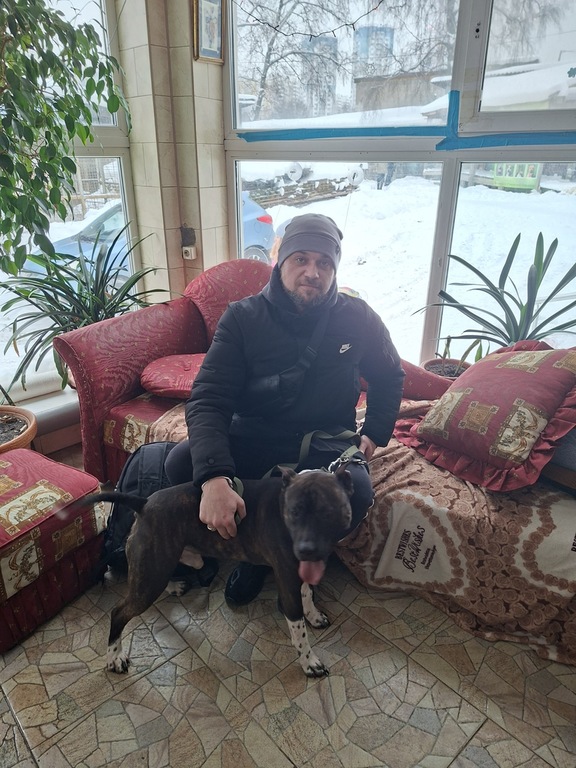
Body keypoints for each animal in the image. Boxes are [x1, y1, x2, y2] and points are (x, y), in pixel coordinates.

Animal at [87, 465, 353, 678]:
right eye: (295, 512)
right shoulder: (287, 580)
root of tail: (144, 503)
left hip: (161, 565)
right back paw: (114, 657)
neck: (281, 505)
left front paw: (313, 615)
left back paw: (173, 586)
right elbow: (299, 631)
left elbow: (307, 594)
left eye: (327, 512)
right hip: (150, 574)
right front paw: (309, 662)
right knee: (118, 612)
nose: (306, 549)